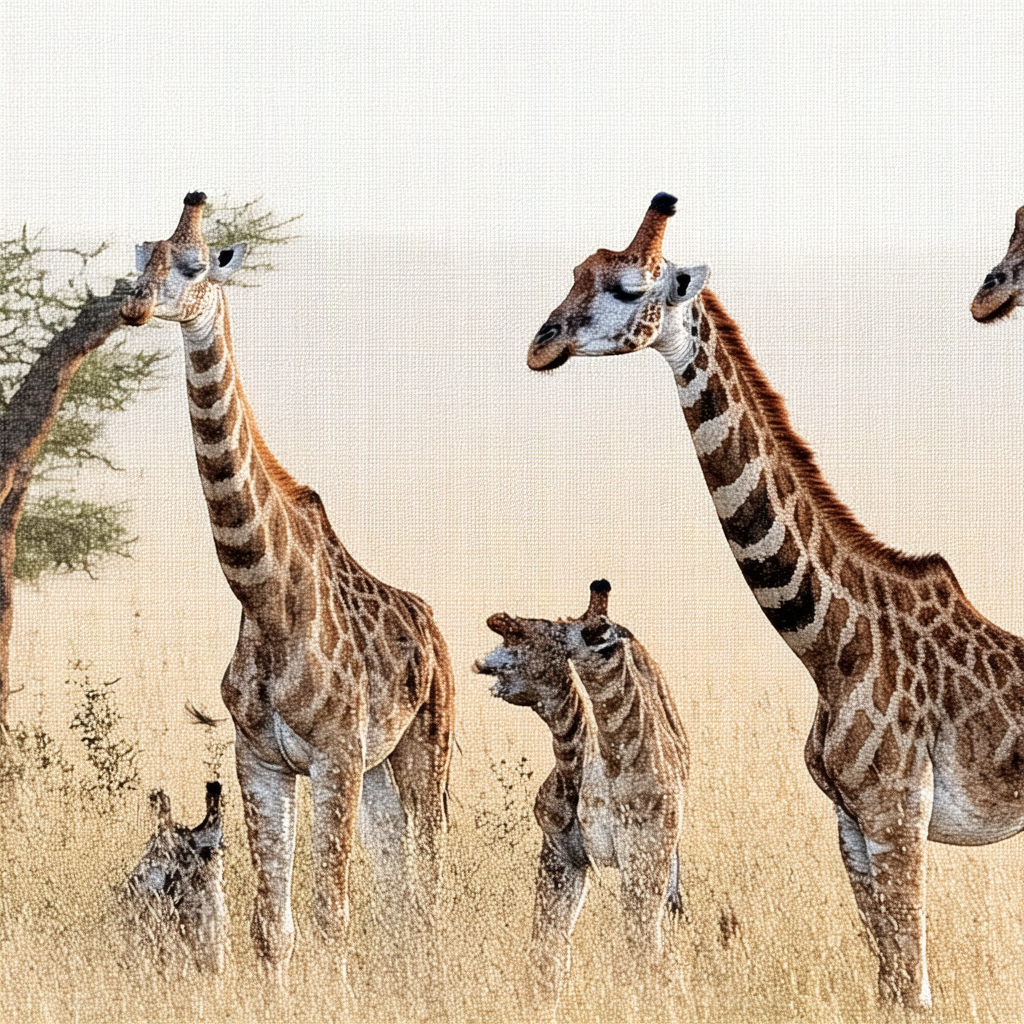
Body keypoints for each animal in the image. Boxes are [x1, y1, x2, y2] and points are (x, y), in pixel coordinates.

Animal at [474, 580, 688, 1017]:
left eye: (548, 632)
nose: (497, 618)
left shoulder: (644, 858)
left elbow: (642, 954)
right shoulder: (562, 856)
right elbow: (548, 957)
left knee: (662, 949)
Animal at [526, 193, 1024, 1012]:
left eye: (629, 289)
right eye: (574, 272)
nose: (542, 345)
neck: (832, 643)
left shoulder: (897, 813)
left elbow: (915, 992)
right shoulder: (851, 823)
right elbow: (889, 988)